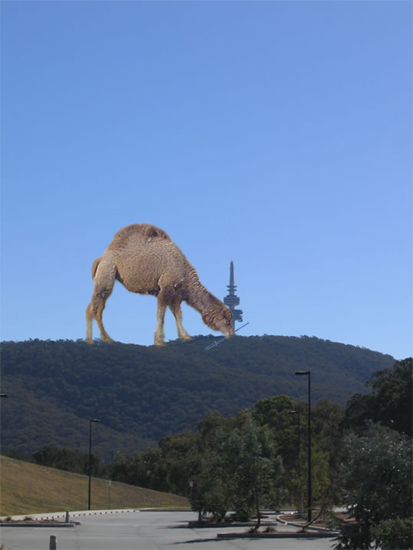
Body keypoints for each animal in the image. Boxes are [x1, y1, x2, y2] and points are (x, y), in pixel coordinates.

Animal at [85, 223, 233, 344]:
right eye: (226, 321)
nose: (231, 334)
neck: (184, 273)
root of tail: (101, 257)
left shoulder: (176, 295)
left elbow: (178, 314)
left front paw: (185, 336)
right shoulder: (165, 287)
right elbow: (161, 314)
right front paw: (159, 341)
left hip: (107, 278)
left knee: (97, 308)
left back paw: (106, 338)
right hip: (107, 272)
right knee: (94, 307)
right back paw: (92, 340)